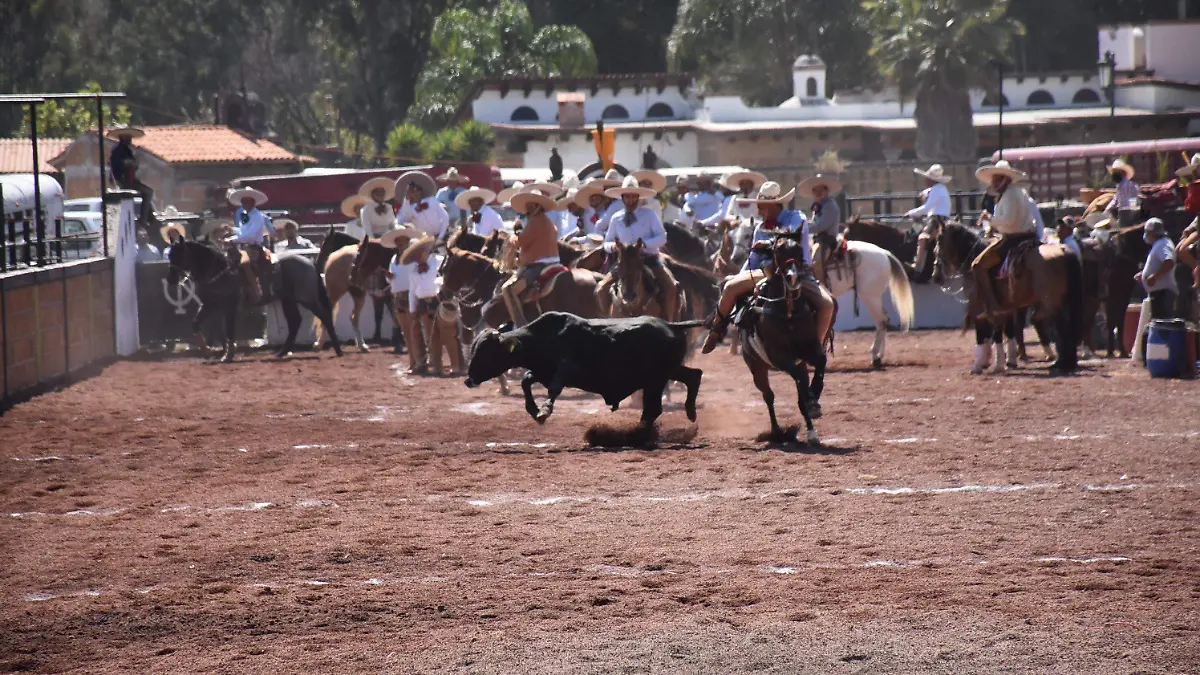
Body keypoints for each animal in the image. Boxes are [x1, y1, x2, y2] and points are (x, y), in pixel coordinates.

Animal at [164, 239, 343, 360]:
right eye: (170, 255)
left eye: (179, 255)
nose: (171, 278)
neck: (219, 270)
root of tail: (309, 263)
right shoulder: (210, 306)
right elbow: (200, 325)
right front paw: (209, 351)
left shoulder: (229, 306)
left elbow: (228, 330)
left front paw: (227, 356)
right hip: (288, 300)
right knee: (295, 322)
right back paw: (282, 352)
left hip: (307, 298)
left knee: (325, 316)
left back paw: (338, 350)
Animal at [460, 309, 700, 420]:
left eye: (486, 352)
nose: (468, 379)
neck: (543, 337)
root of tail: (671, 325)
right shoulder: (543, 371)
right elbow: (526, 380)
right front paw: (533, 409)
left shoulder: (568, 368)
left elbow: (554, 387)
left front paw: (544, 411)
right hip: (667, 371)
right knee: (694, 375)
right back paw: (690, 413)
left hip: (657, 378)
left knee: (654, 408)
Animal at [734, 230, 830, 446]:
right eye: (778, 250)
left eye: (800, 249)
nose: (792, 277)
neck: (789, 313)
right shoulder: (778, 356)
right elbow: (797, 380)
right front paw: (812, 400)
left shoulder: (809, 348)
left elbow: (821, 362)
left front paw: (814, 399)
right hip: (756, 367)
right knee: (768, 396)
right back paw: (777, 432)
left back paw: (811, 432)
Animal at [811, 239, 912, 367]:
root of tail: (885, 253)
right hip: (874, 298)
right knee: (883, 321)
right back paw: (879, 356)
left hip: (870, 298)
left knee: (881, 321)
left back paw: (875, 356)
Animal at [921, 219, 1084, 372]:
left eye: (938, 240)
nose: (936, 277)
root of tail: (1064, 251)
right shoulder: (1007, 308)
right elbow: (1005, 332)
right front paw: (1006, 361)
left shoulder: (980, 305)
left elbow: (985, 333)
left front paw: (982, 365)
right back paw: (1064, 361)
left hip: (1051, 302)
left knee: (1060, 326)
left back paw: (1061, 362)